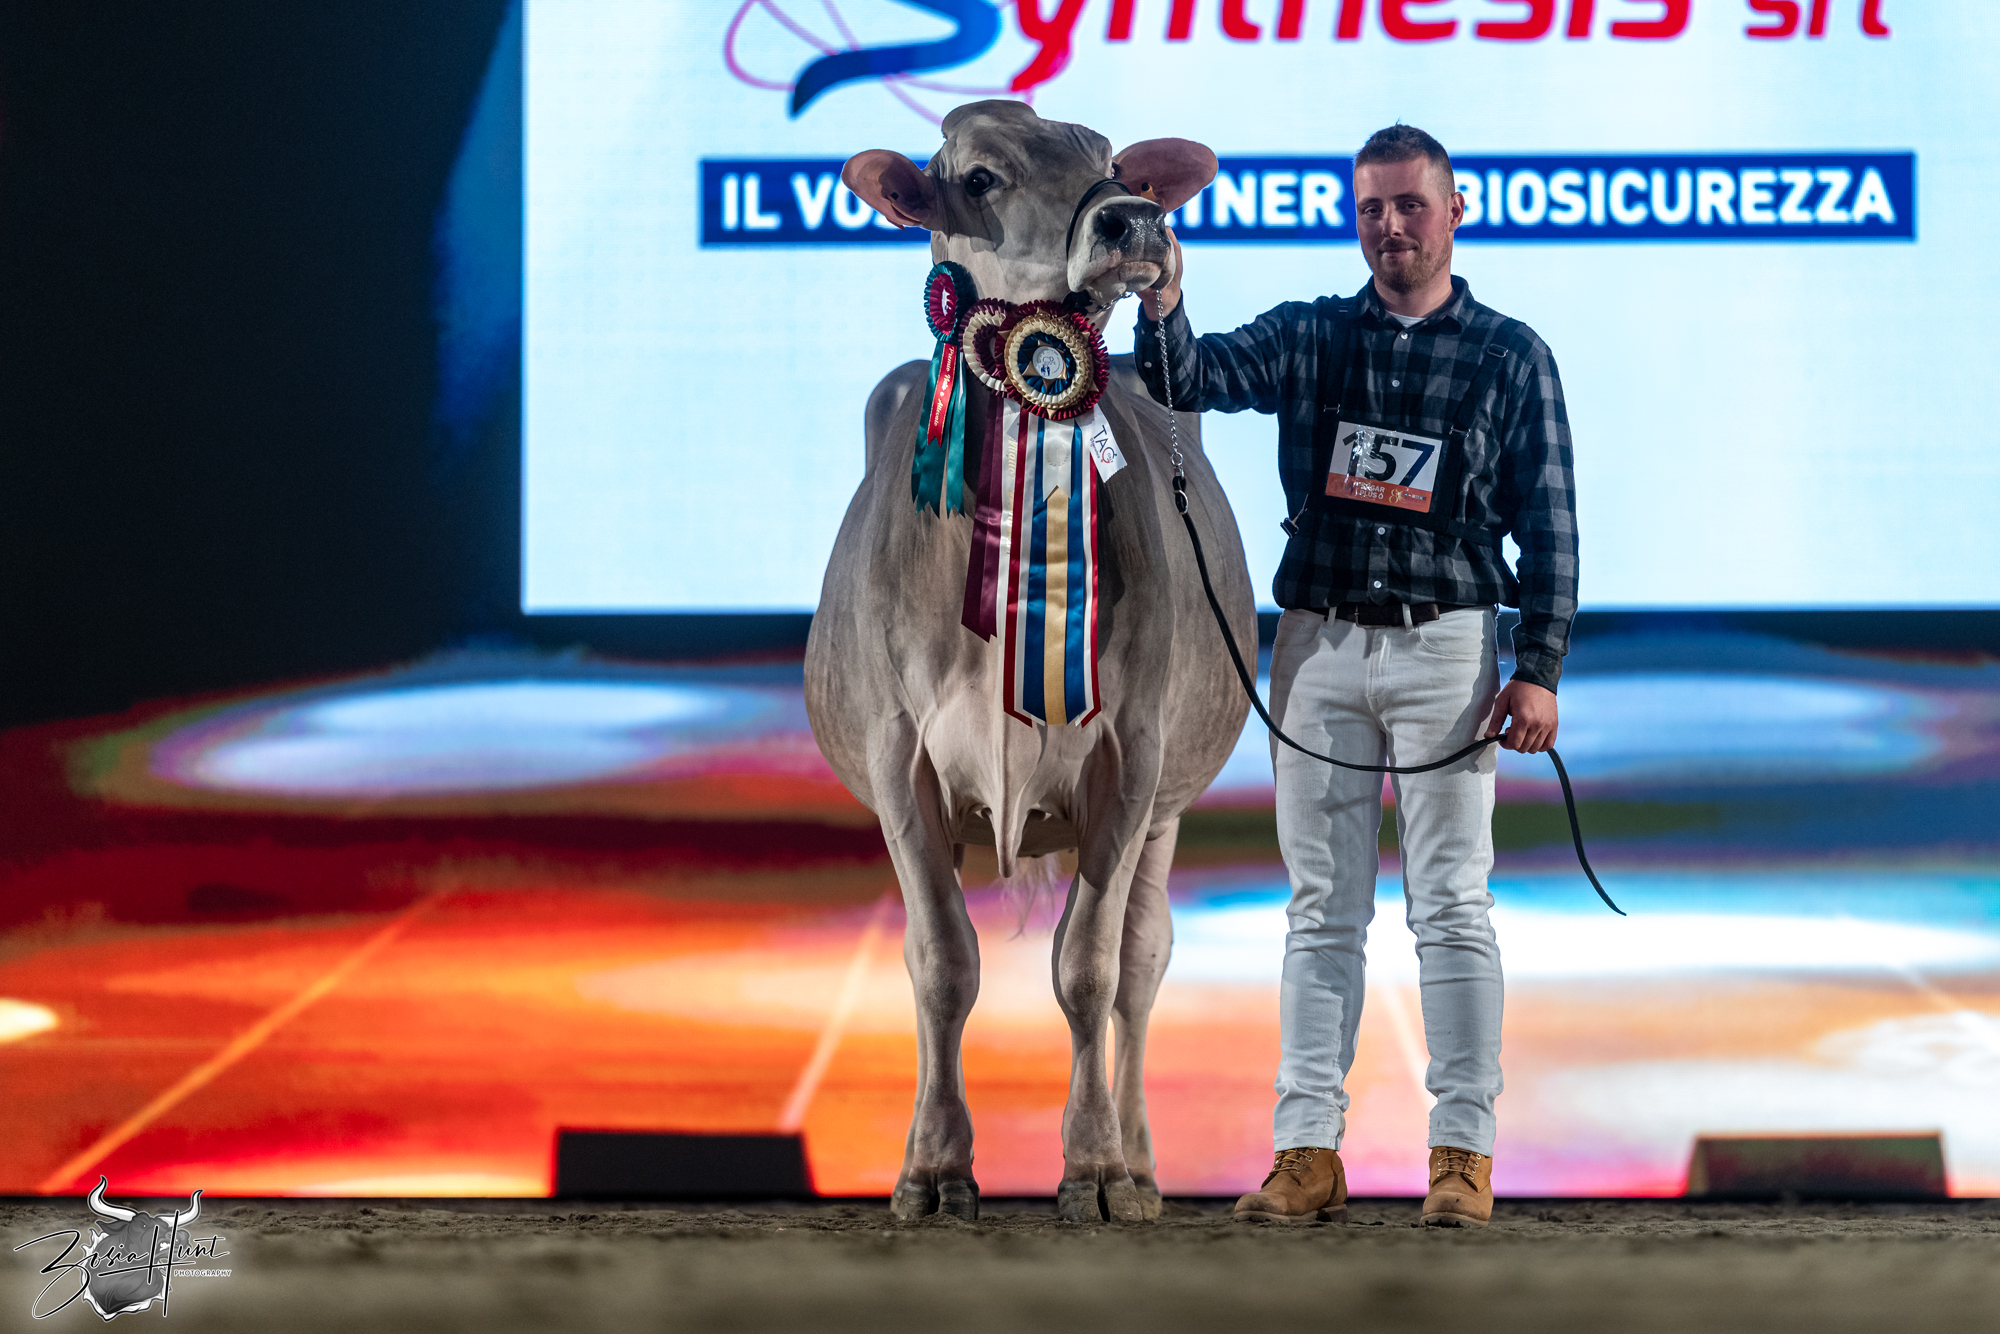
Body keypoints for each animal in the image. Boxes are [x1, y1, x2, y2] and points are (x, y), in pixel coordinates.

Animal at [805, 100, 1256, 1223]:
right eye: (978, 177)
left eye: (1110, 163)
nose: (1134, 220)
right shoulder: (899, 758)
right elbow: (939, 963)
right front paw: (932, 1168)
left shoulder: (1132, 756)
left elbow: (1088, 968)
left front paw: (1097, 1169)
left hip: (1168, 806)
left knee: (1141, 961)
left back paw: (1141, 1157)